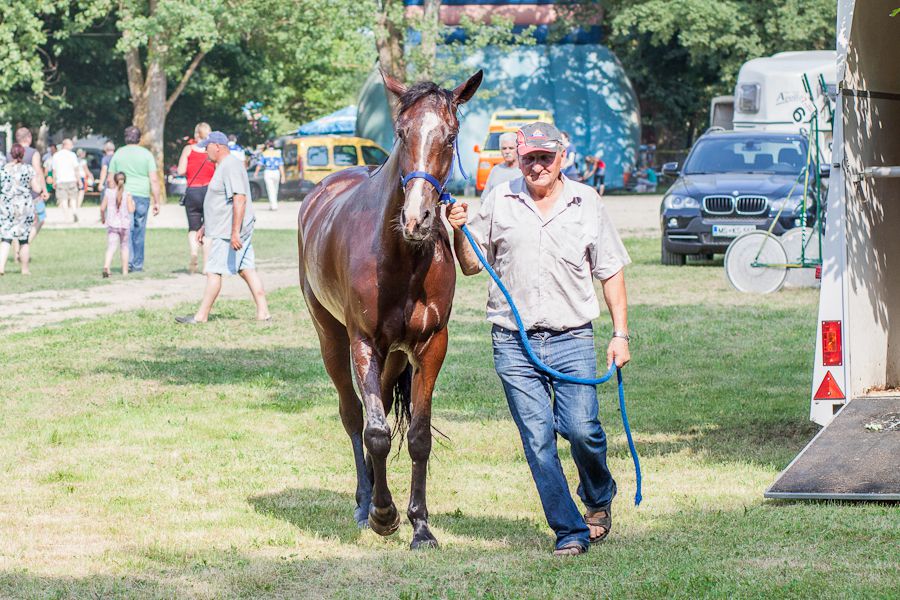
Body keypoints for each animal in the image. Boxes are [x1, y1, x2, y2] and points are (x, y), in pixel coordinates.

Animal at [298, 70, 482, 548]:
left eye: (451, 135)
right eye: (401, 132)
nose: (417, 218)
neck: (402, 257)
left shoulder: (431, 346)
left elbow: (417, 436)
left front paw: (420, 526)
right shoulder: (363, 342)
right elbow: (376, 431)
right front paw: (383, 513)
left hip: (395, 355)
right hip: (331, 337)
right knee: (353, 414)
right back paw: (365, 501)